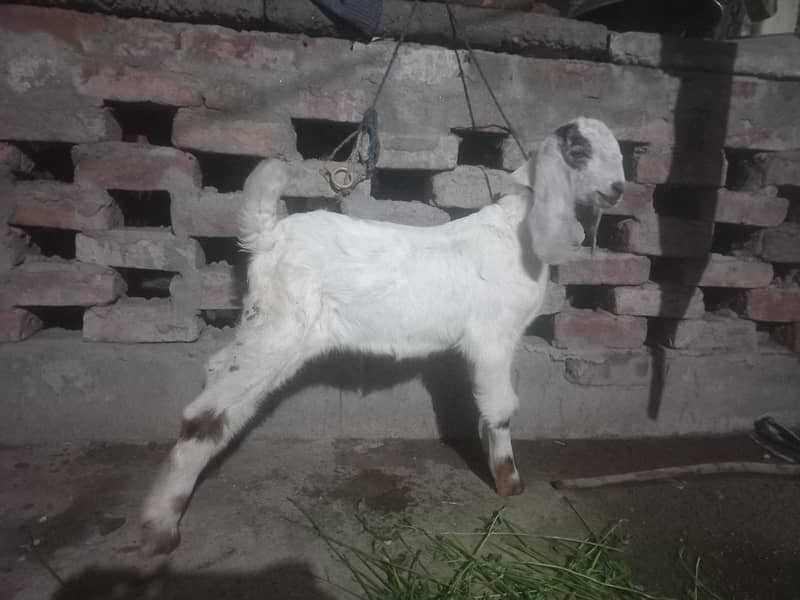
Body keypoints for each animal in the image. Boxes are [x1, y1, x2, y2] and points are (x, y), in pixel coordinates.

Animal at [140, 117, 625, 556]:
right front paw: (509, 482)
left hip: (268, 325)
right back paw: (160, 527)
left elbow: (487, 408)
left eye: (619, 153)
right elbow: (502, 407)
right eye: (579, 152)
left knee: (220, 374)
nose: (618, 189)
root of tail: (268, 236)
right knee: (204, 413)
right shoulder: (493, 337)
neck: (519, 231)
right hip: (282, 326)